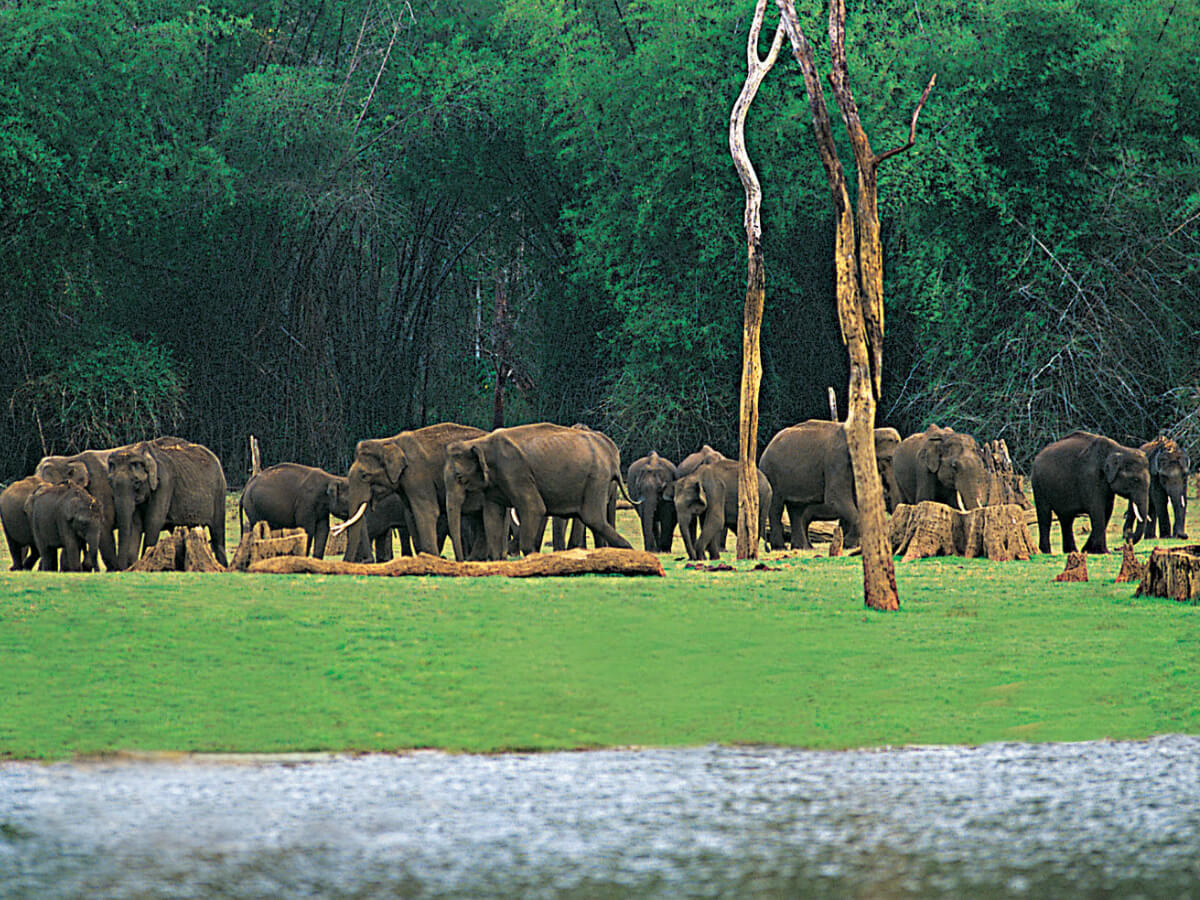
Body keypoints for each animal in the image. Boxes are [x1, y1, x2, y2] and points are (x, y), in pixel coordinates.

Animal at [106, 436, 229, 569]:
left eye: (137, 482)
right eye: (110, 482)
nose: (122, 569)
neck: (142, 452)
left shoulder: (164, 483)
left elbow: (153, 522)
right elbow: (135, 524)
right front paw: (135, 566)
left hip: (219, 492)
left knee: (217, 533)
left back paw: (223, 566)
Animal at [339, 422, 486, 560]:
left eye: (364, 476)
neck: (390, 441)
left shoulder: (417, 474)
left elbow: (426, 512)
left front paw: (431, 559)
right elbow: (411, 515)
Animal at [444, 422, 632, 560]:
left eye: (459, 477)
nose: (462, 560)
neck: (481, 442)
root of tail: (610, 452)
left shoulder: (515, 472)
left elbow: (534, 508)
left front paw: (532, 557)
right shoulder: (494, 483)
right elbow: (492, 515)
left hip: (596, 478)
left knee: (593, 518)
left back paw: (629, 551)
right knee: (594, 520)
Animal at [759, 420, 901, 551]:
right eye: (888, 458)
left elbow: (856, 500)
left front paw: (852, 545)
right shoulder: (836, 461)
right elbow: (836, 498)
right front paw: (849, 544)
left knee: (796, 510)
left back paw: (802, 548)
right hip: (771, 473)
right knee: (776, 508)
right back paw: (780, 548)